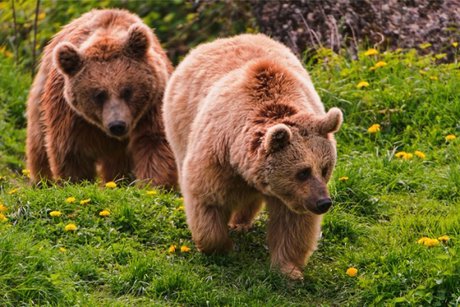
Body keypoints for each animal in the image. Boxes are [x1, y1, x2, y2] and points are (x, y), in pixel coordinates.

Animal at [25, 9, 176, 188]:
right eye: (99, 95)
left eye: (127, 91)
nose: (117, 125)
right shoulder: (71, 115)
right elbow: (71, 150)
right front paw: (76, 181)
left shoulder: (153, 105)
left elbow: (154, 142)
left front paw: (153, 185)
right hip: (41, 96)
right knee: (38, 141)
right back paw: (42, 181)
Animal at [164, 34, 344, 282]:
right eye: (303, 172)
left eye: (325, 168)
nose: (323, 202)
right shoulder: (217, 156)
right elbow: (207, 198)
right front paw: (221, 247)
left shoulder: (292, 196)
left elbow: (293, 224)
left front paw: (289, 269)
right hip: (180, 125)